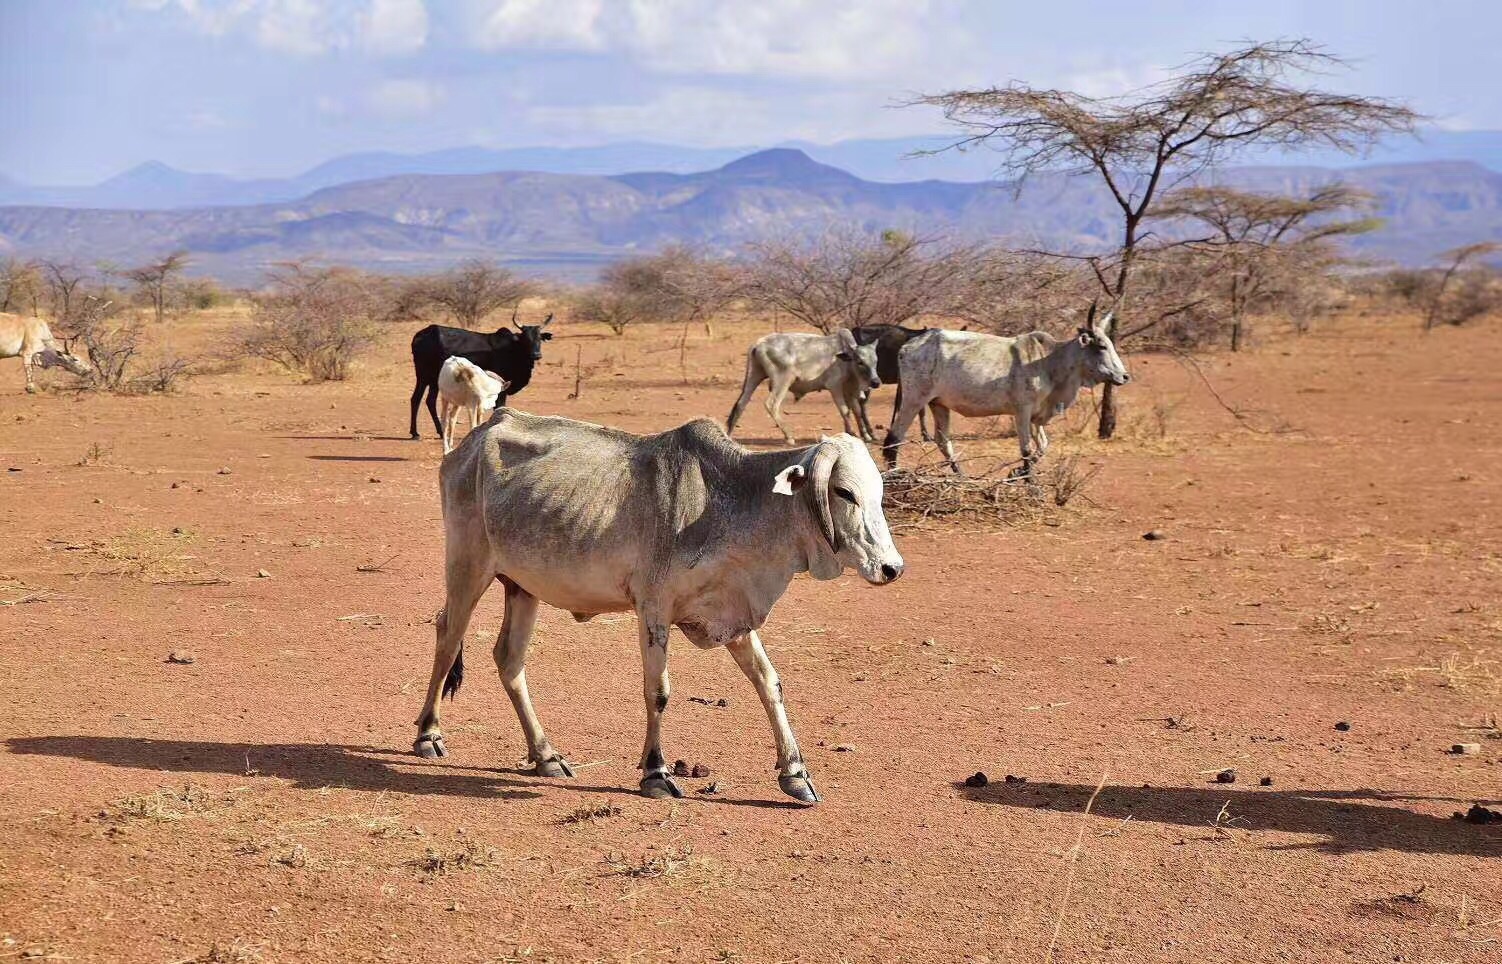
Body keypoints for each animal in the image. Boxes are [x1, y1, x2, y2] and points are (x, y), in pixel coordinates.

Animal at [408, 313, 555, 438]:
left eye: (539, 338)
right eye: (526, 339)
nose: (536, 355)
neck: (513, 349)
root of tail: (420, 335)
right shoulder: (501, 388)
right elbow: (499, 407)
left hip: (432, 380)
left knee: (426, 400)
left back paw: (435, 431)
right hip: (424, 375)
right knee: (418, 399)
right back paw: (417, 433)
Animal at [411, 408, 901, 798]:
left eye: (877, 492)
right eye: (844, 492)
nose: (891, 568)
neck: (732, 502)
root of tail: (479, 434)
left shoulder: (732, 615)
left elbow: (769, 682)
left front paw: (795, 774)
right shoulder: (654, 609)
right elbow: (658, 691)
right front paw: (656, 772)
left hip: (522, 586)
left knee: (509, 659)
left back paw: (546, 755)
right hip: (468, 567)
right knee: (448, 636)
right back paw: (428, 735)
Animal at [877, 307, 1129, 474]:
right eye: (1102, 346)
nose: (1124, 376)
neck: (1050, 362)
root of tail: (908, 346)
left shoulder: (1036, 416)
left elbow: (1042, 447)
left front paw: (1016, 472)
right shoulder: (1022, 411)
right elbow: (1026, 449)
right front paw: (1029, 483)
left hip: (938, 404)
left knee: (943, 441)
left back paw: (961, 476)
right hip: (914, 400)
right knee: (894, 439)